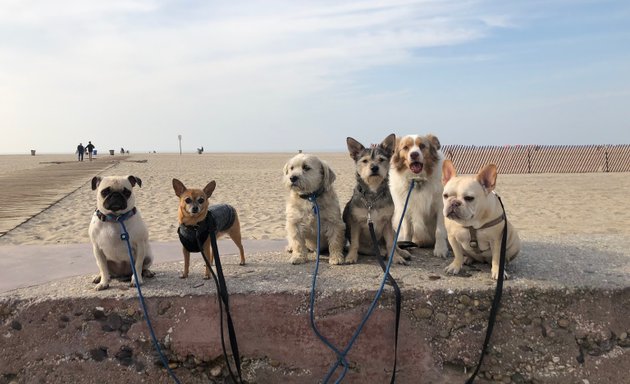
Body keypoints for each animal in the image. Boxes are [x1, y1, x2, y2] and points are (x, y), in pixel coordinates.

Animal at [344, 134, 412, 264]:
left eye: (381, 159)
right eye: (365, 161)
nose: (374, 167)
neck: (373, 195)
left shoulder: (387, 222)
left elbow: (390, 243)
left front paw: (396, 258)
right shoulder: (356, 222)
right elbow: (354, 243)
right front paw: (351, 256)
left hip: (394, 231)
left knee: (394, 244)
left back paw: (402, 252)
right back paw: (382, 252)